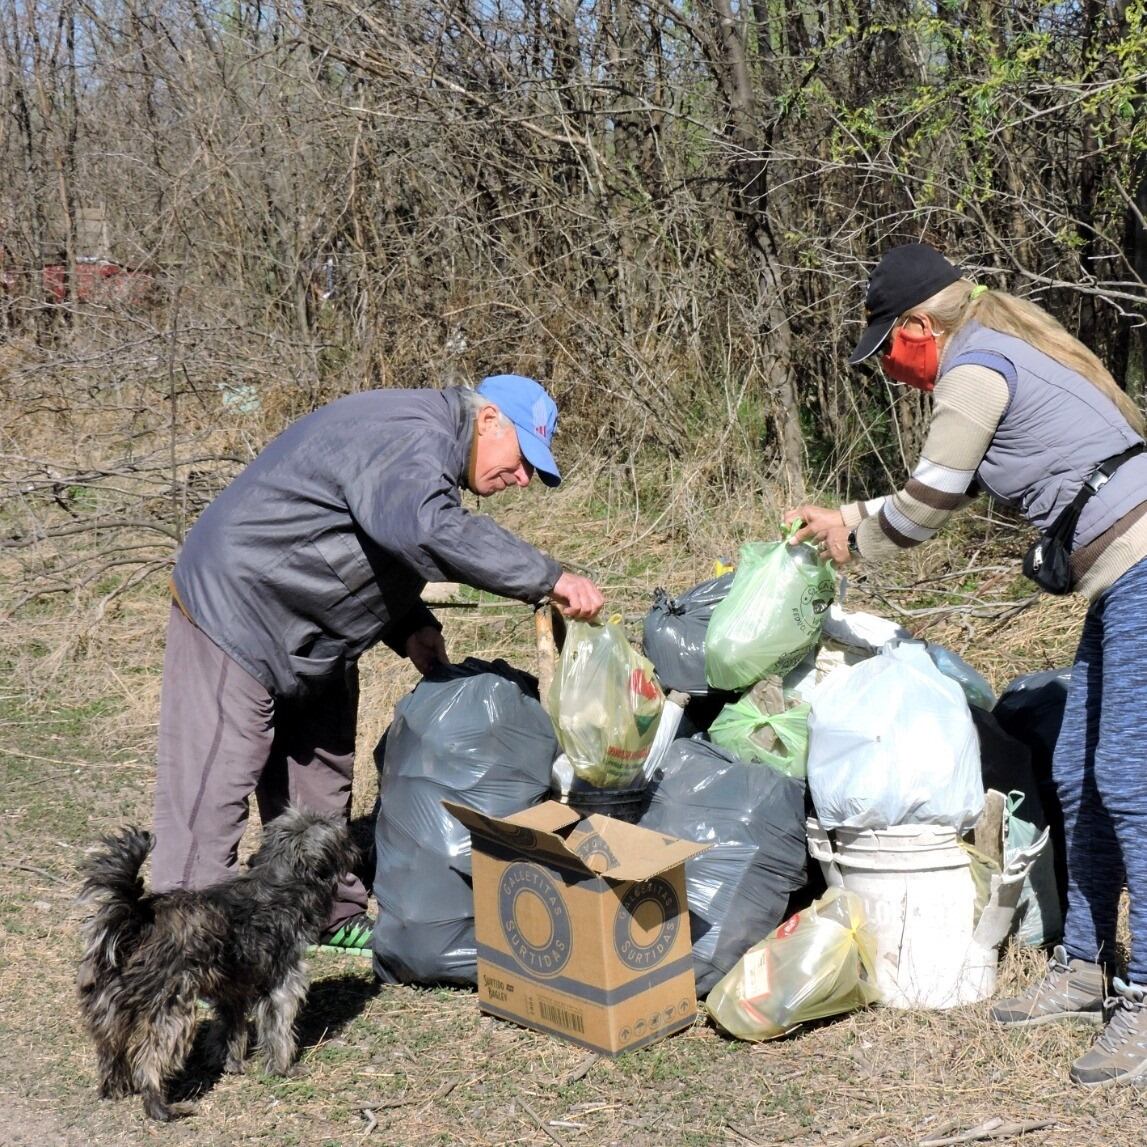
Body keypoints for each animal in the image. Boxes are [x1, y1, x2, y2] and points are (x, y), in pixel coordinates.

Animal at [75, 807, 355, 1119]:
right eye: (342, 838)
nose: (354, 845)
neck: (281, 882)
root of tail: (137, 920)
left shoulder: (231, 990)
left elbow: (230, 1028)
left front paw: (230, 1063)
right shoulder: (283, 984)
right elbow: (278, 1030)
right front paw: (284, 1069)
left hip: (108, 1006)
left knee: (110, 1050)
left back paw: (114, 1088)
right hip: (171, 1010)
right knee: (149, 1059)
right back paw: (161, 1107)